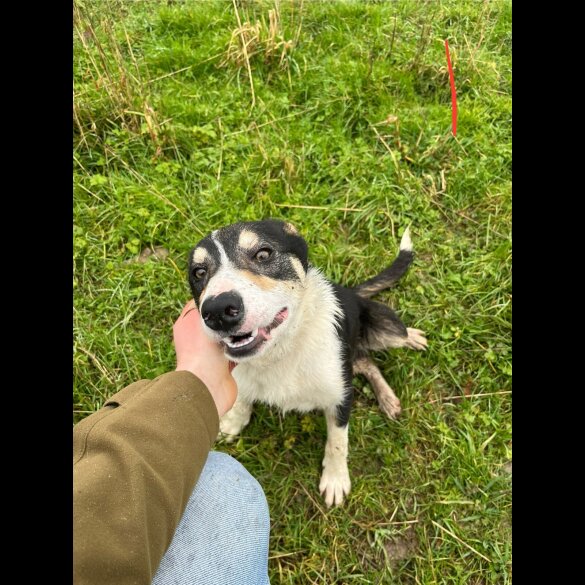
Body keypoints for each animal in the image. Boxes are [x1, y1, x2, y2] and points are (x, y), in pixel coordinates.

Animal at [189, 219, 426, 506]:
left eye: (263, 254)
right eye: (199, 272)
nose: (217, 311)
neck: (282, 351)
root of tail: (351, 292)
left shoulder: (340, 395)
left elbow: (338, 441)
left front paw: (335, 479)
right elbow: (243, 399)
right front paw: (233, 422)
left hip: (385, 328)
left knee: (381, 348)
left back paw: (410, 344)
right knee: (366, 361)